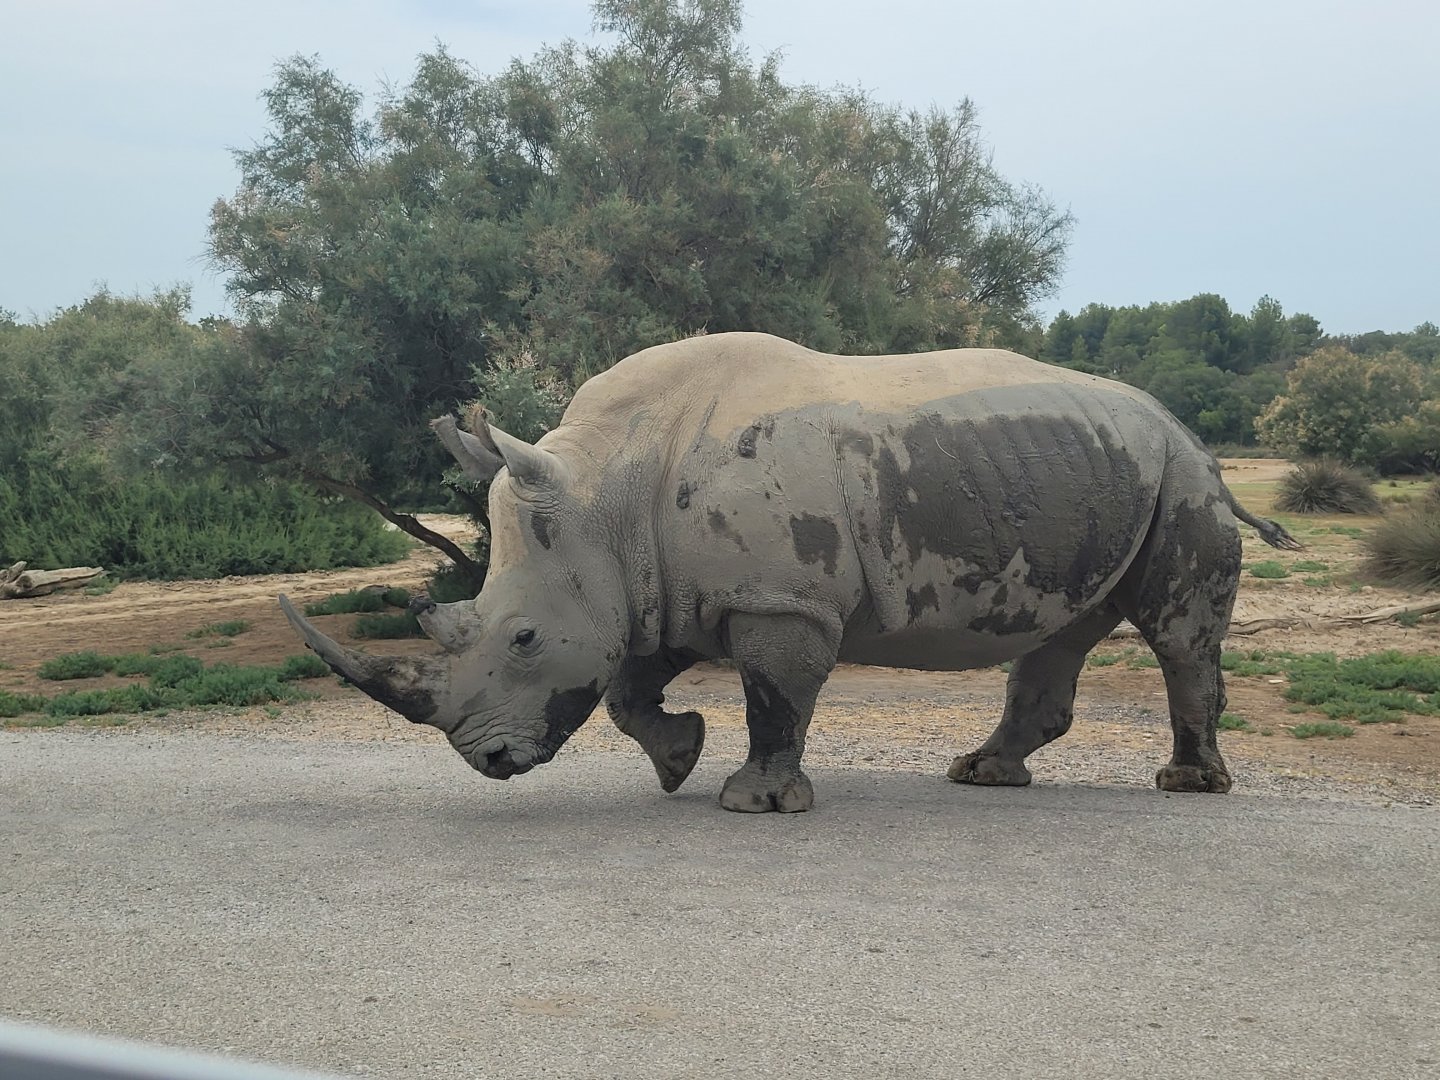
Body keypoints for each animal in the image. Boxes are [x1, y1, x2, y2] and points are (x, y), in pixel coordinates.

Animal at [280, 332, 1300, 813]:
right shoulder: (665, 589)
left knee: (1174, 634)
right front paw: (678, 762)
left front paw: (754, 803)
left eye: (524, 638)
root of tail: (1180, 425)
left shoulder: (782, 598)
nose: (489, 761)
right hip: (1098, 473)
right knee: (1062, 631)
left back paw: (1186, 787)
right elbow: (629, 685)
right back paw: (981, 775)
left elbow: (774, 695)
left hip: (1180, 475)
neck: (605, 491)